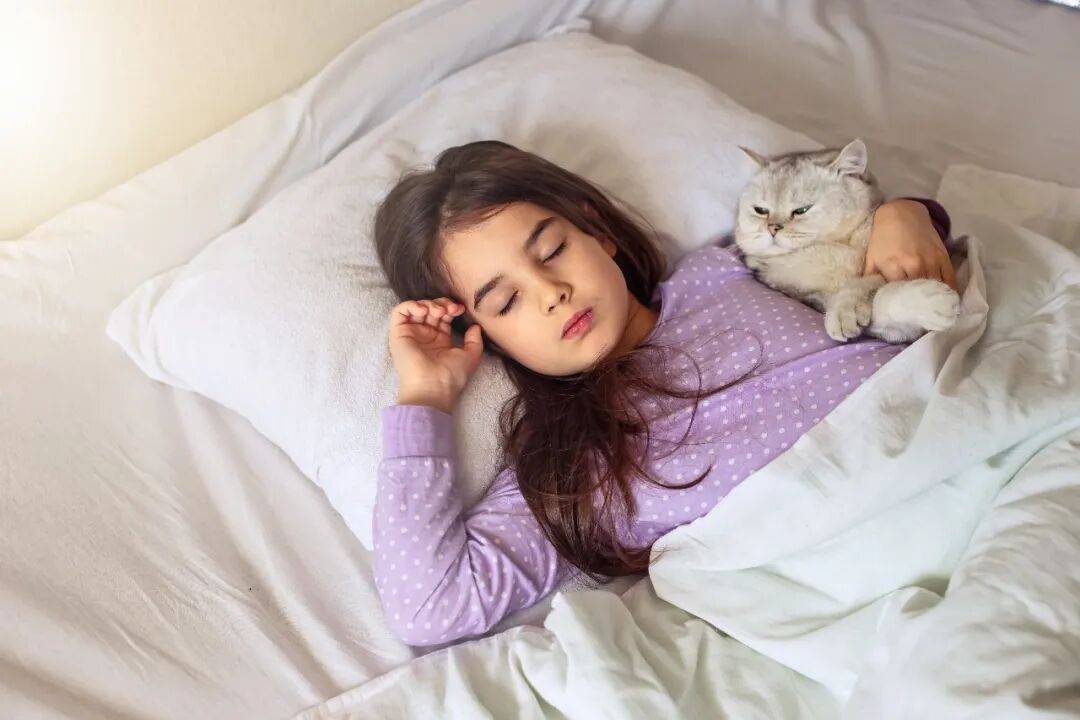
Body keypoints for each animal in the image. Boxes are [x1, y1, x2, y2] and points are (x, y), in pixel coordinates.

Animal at [733, 138, 960, 343]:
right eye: (760, 210)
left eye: (802, 210)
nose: (772, 228)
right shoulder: (814, 299)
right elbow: (879, 298)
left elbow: (874, 286)